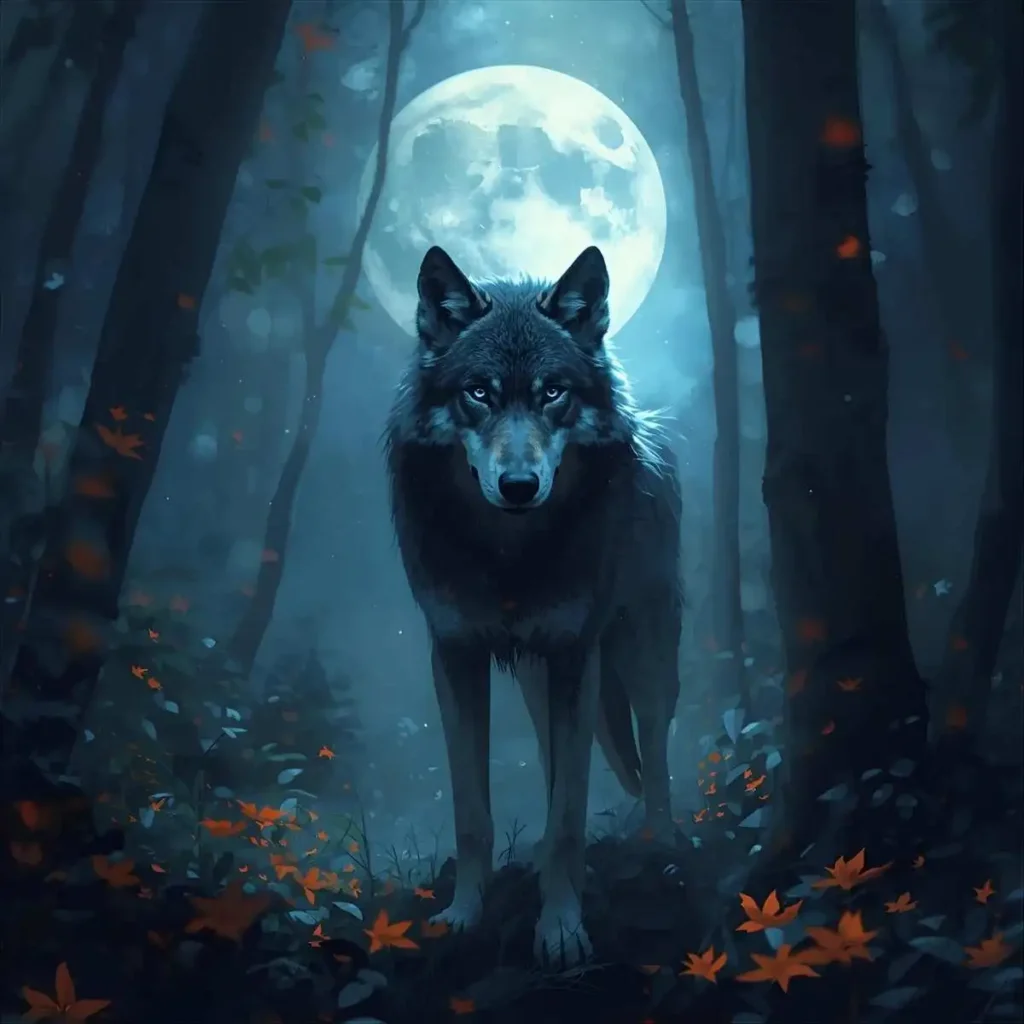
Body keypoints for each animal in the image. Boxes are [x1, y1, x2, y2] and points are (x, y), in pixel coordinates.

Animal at [384, 244, 682, 965]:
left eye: (553, 391)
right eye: (478, 392)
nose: (519, 485)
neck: (508, 553)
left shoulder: (576, 653)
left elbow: (571, 812)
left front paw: (562, 928)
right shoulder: (455, 655)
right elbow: (472, 811)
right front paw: (463, 914)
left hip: (643, 655)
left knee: (654, 749)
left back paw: (661, 844)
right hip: (534, 679)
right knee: (554, 758)